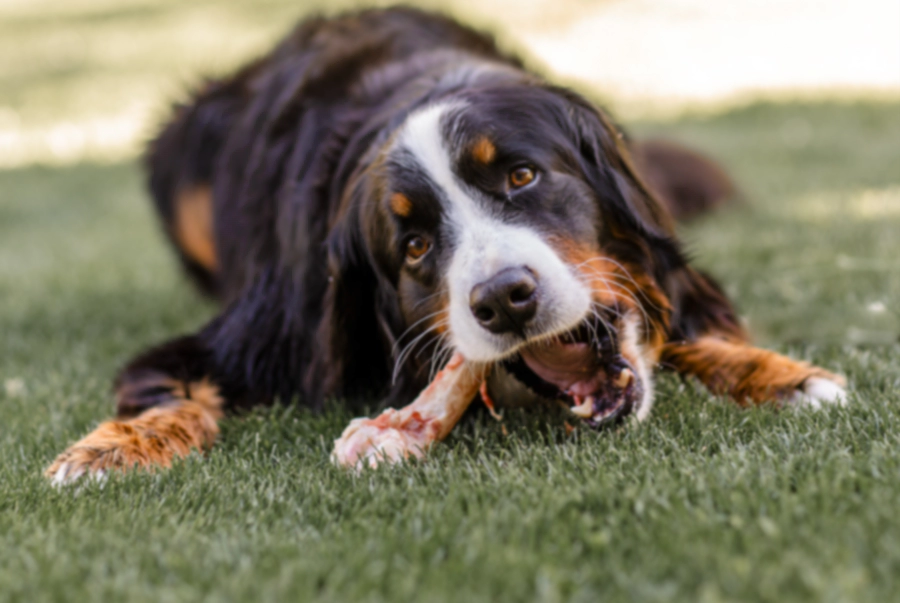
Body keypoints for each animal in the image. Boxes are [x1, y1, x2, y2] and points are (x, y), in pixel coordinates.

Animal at [45, 5, 848, 482]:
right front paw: (111, 446)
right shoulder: (254, 335)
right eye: (414, 245)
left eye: (522, 175)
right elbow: (169, 389)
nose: (505, 299)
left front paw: (780, 374)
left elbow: (688, 319)